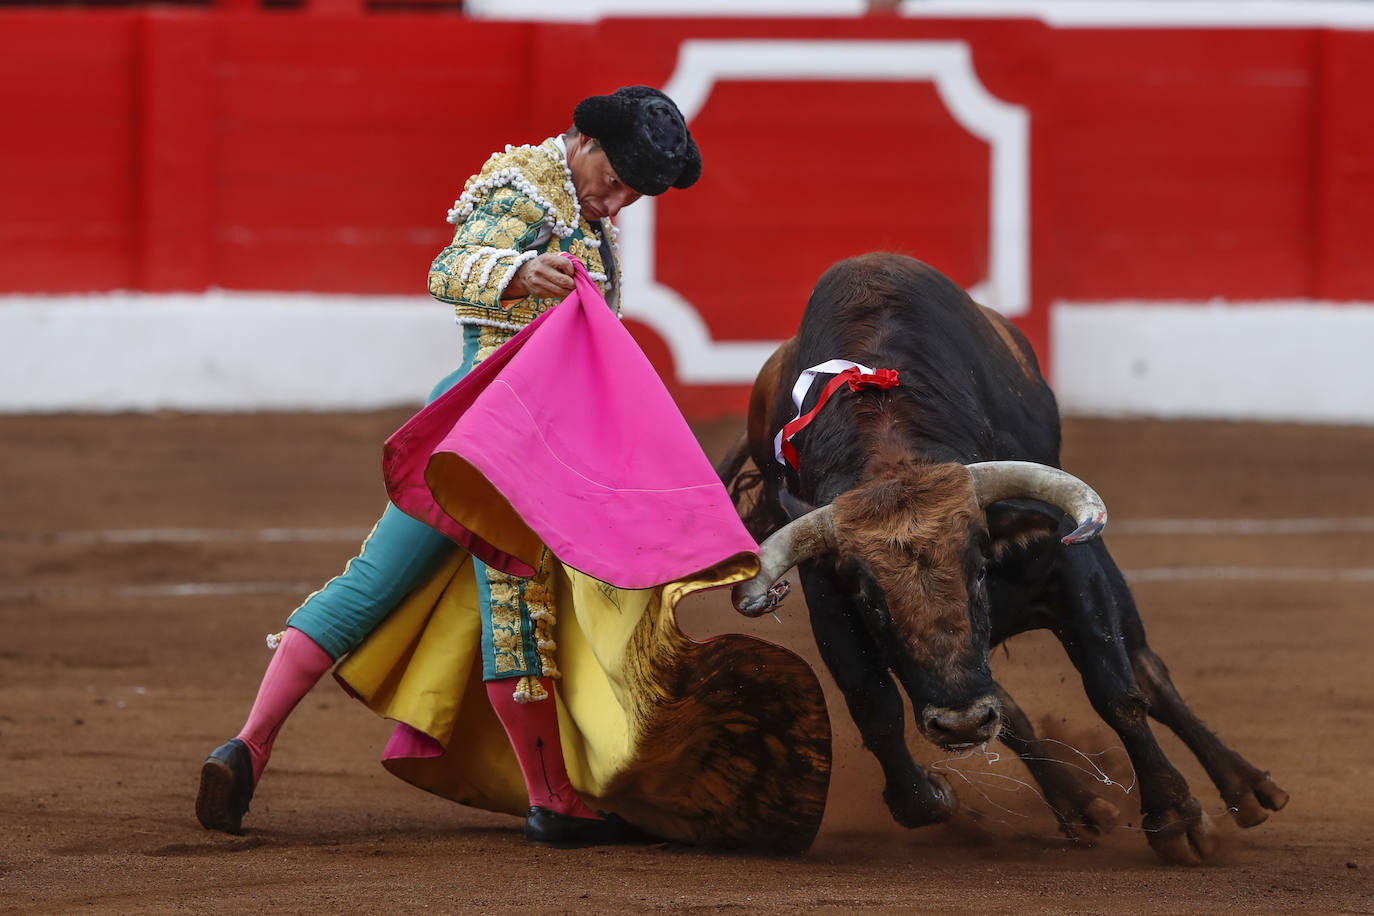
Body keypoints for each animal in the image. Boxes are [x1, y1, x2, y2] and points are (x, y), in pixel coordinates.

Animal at [719, 252, 1286, 867]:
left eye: (978, 571)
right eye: (873, 602)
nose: (961, 721)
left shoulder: (1071, 566)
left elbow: (1115, 689)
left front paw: (1175, 817)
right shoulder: (832, 603)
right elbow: (879, 711)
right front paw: (931, 797)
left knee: (1147, 670)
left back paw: (1247, 788)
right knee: (1009, 708)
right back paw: (1079, 807)